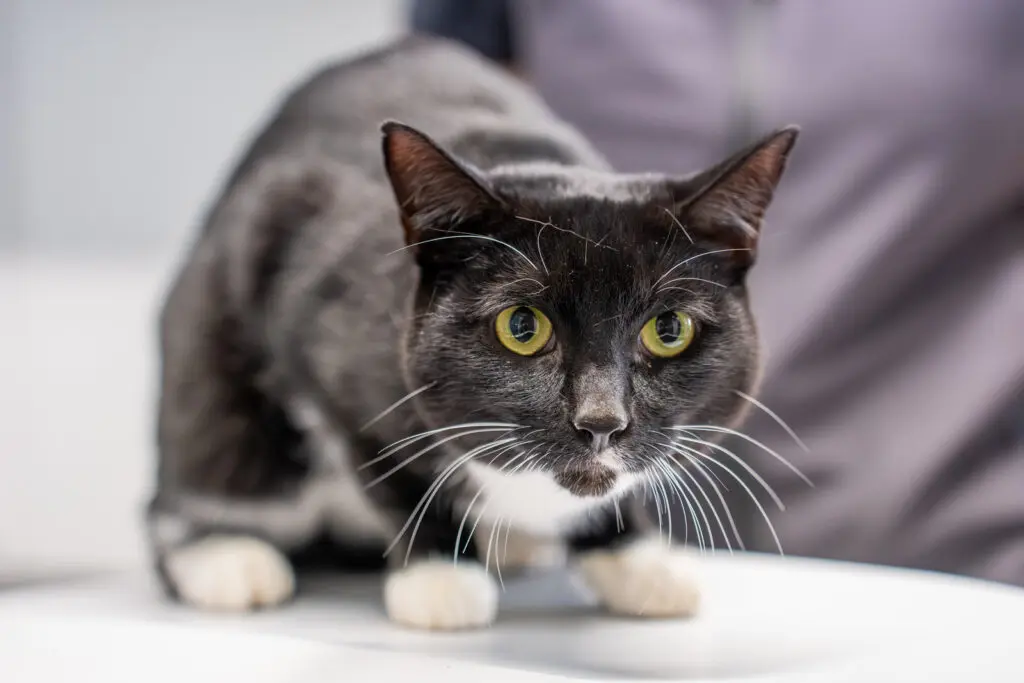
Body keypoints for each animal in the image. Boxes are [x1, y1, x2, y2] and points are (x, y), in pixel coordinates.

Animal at [147, 35, 797, 631]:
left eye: (668, 328)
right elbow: (393, 469)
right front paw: (440, 577)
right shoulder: (317, 328)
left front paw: (637, 560)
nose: (601, 421)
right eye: (521, 327)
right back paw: (226, 556)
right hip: (212, 365)